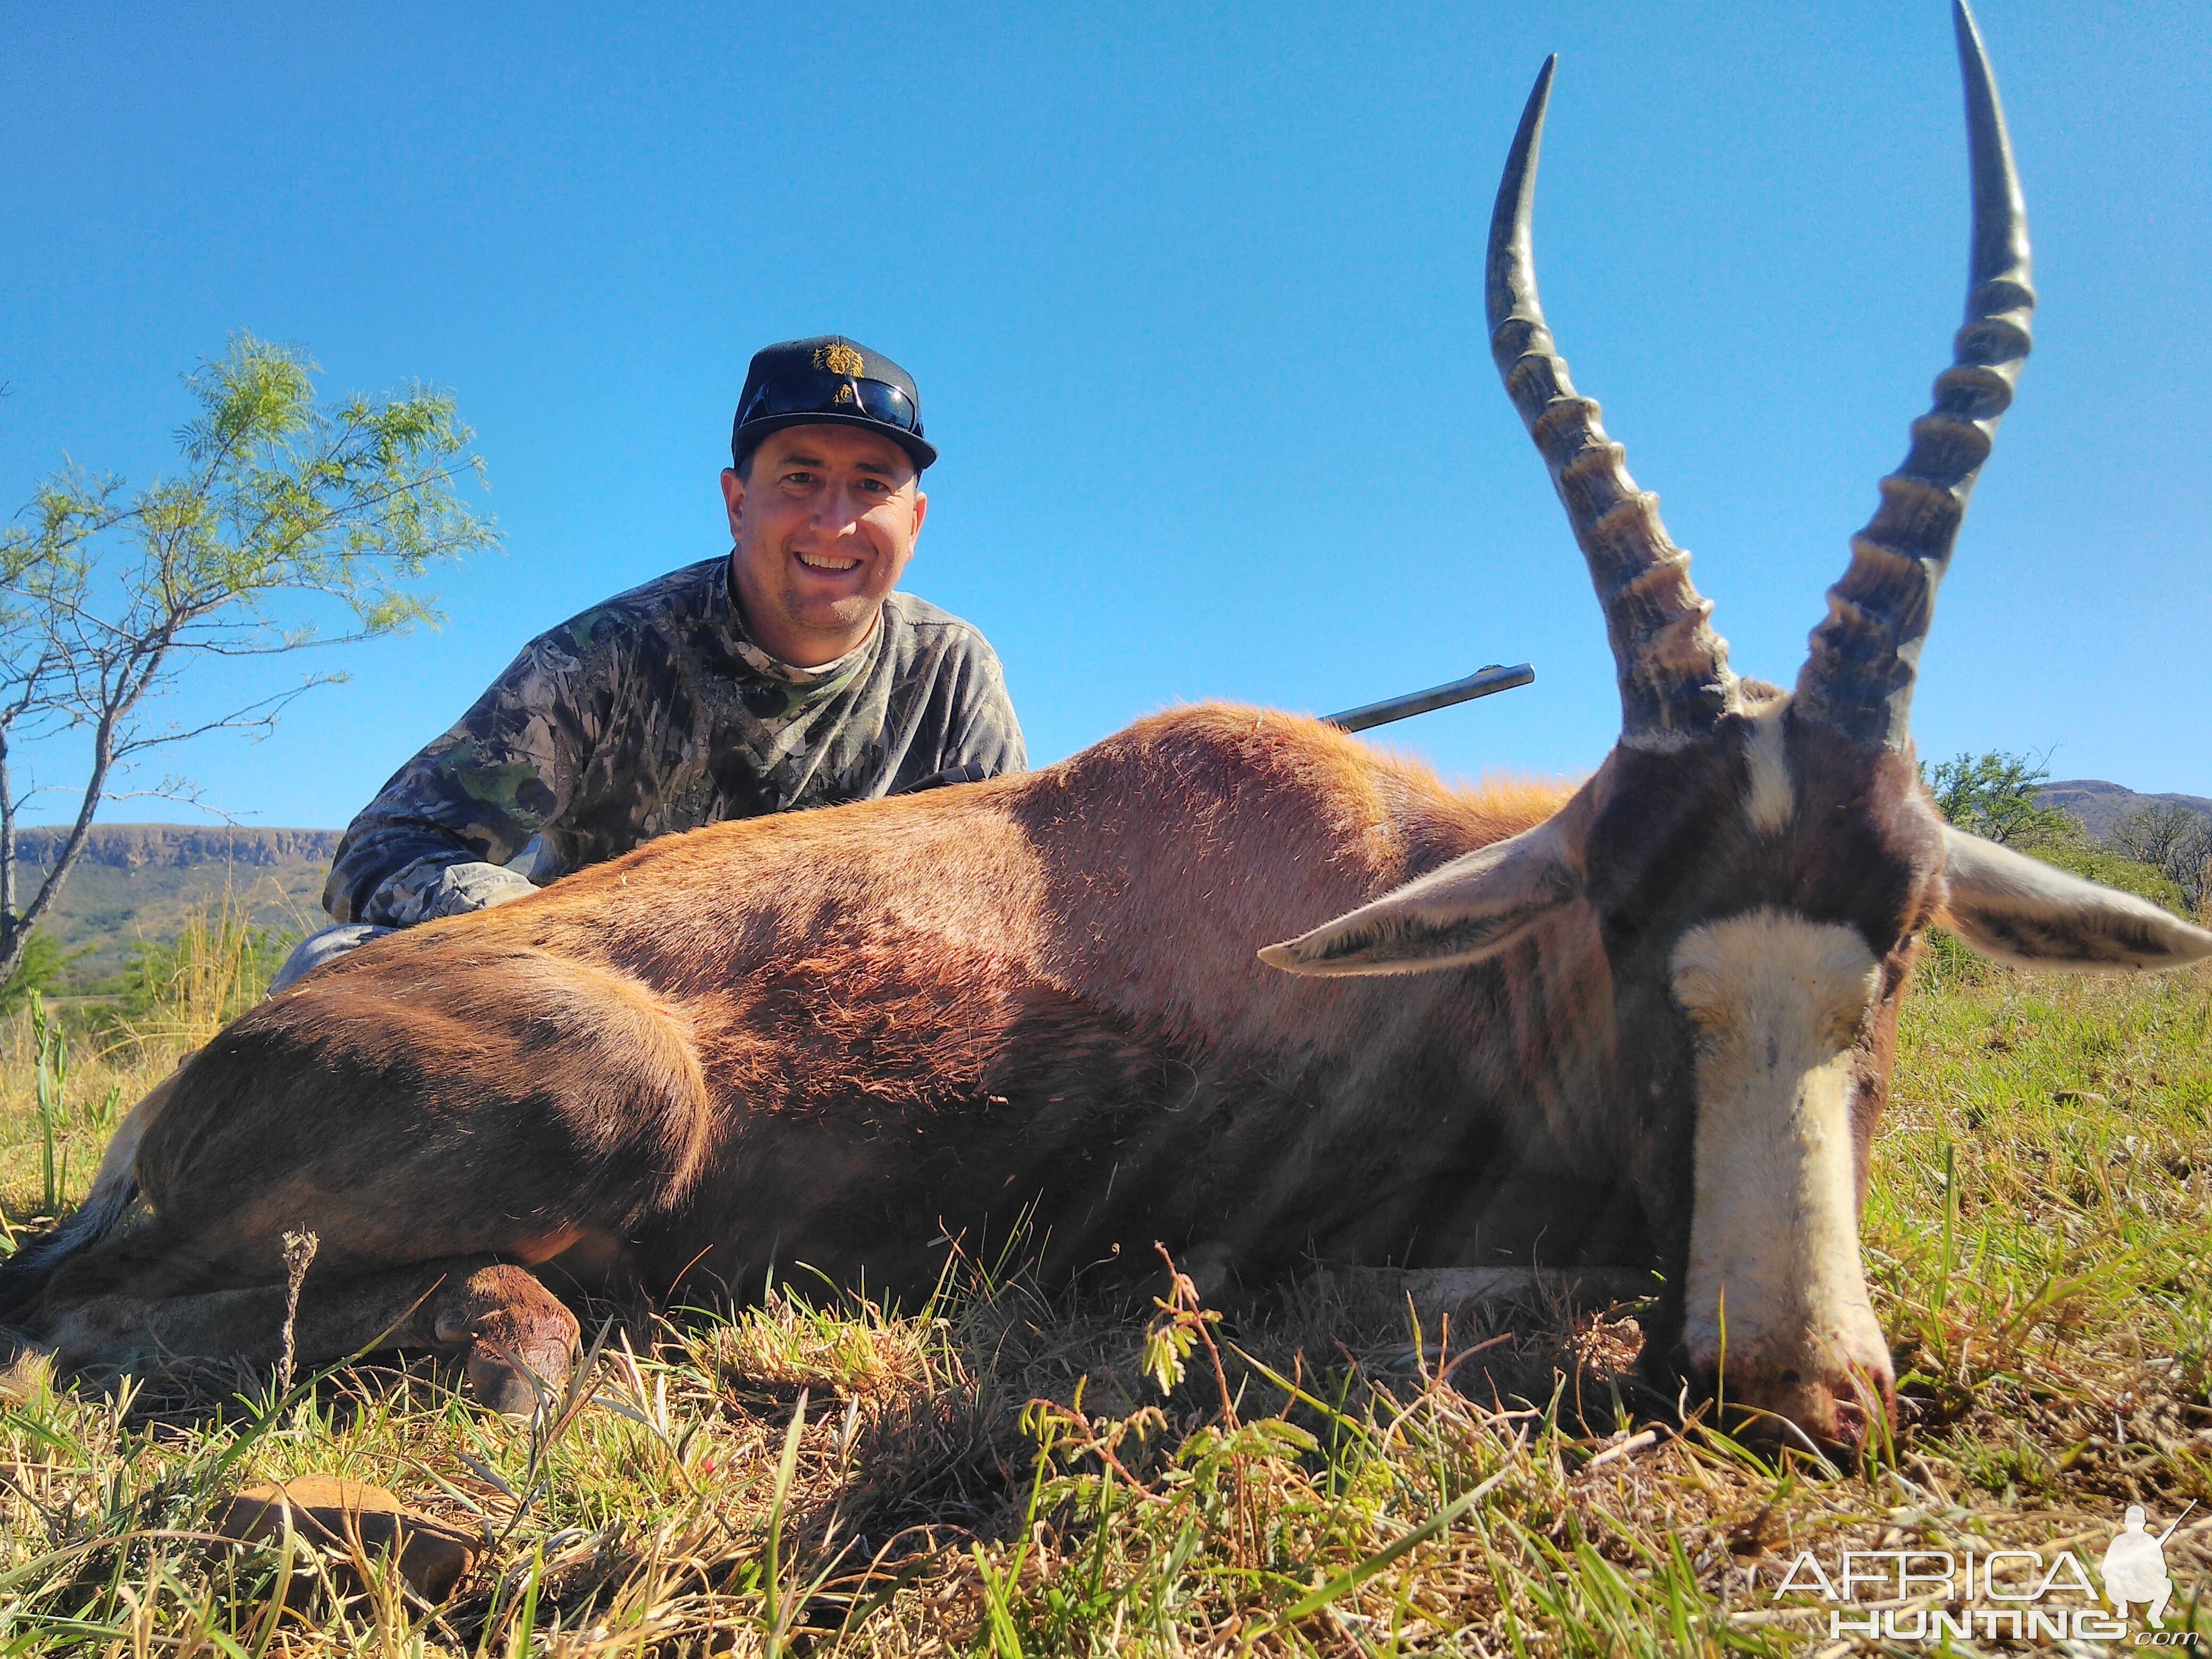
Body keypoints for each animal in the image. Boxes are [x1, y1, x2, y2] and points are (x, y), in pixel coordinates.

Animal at [0, 3, 2203, 1451]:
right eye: (1627, 923)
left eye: (1903, 940)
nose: (1787, 1391)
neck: (1412, 903)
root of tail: (177, 1098)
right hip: (597, 1100)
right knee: (114, 1326)